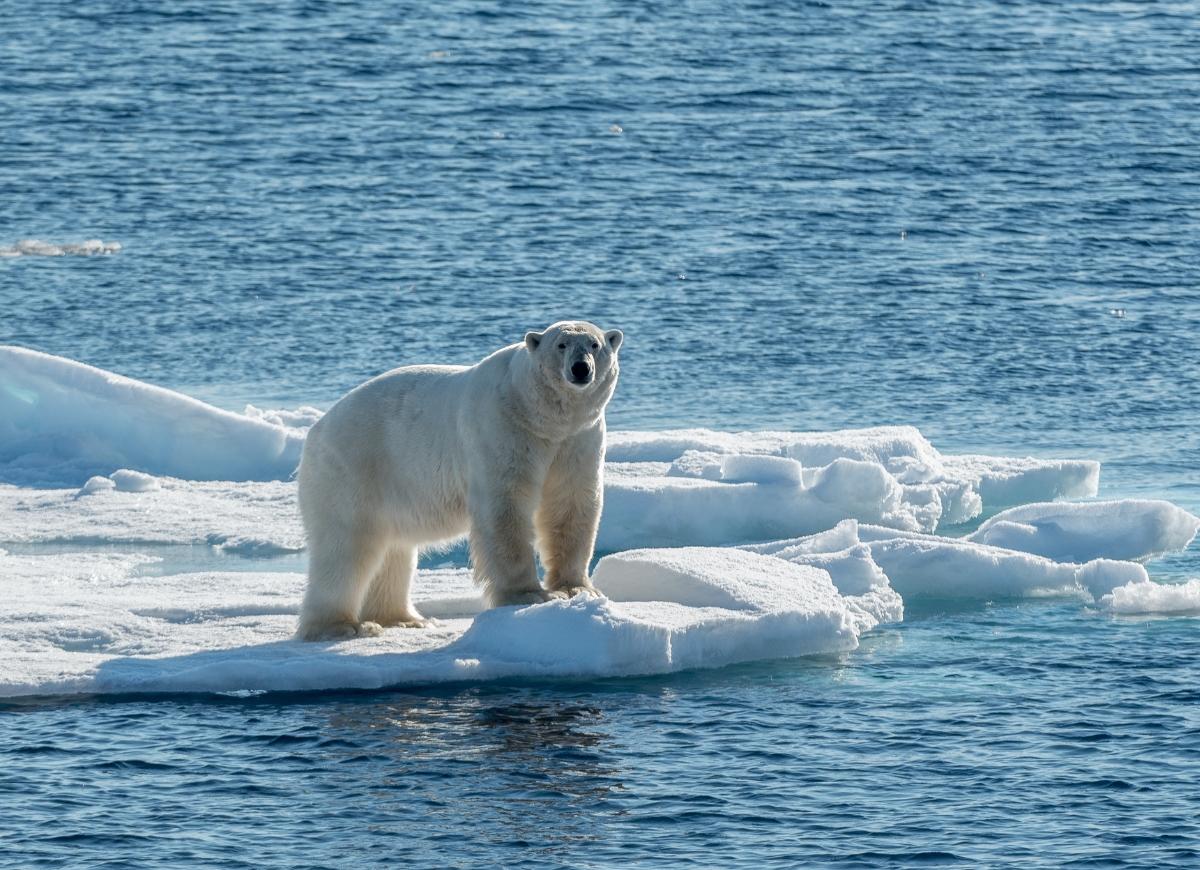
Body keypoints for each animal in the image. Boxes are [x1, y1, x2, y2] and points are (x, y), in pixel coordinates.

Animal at [295, 319, 624, 638]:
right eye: (561, 344)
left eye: (594, 344)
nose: (580, 368)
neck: (540, 417)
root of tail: (316, 430)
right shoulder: (504, 429)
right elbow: (506, 509)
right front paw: (529, 594)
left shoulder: (577, 439)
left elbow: (570, 503)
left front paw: (578, 589)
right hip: (353, 469)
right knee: (346, 547)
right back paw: (339, 626)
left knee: (394, 550)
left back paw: (404, 619)